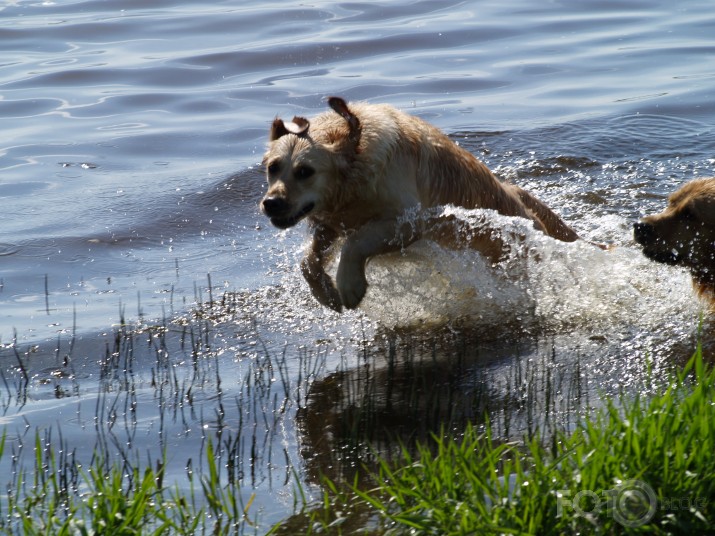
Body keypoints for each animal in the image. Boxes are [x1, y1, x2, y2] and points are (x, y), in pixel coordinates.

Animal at [260, 98, 584, 312]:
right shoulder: (330, 223)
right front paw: (325, 292)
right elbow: (308, 262)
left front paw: (349, 284)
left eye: (305, 171)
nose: (271, 204)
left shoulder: (409, 222)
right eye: (273, 168)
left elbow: (356, 242)